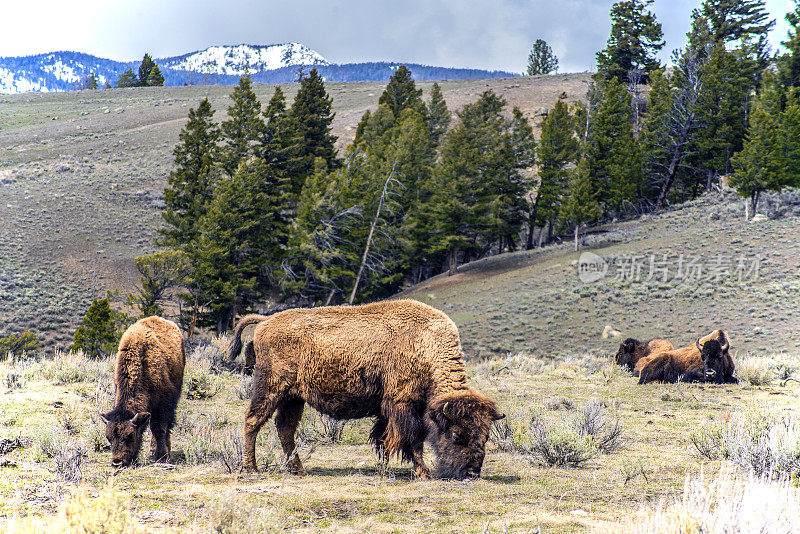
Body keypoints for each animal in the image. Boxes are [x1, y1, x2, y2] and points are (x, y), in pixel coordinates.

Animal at [101, 318, 185, 468]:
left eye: (130, 435)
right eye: (108, 437)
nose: (117, 462)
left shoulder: (163, 404)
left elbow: (159, 429)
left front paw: (162, 456)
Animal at [228, 302, 504, 482]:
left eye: (486, 436)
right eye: (456, 435)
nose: (471, 473)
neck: (425, 344)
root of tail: (266, 321)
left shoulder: (386, 409)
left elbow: (382, 438)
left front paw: (384, 470)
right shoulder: (404, 404)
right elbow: (412, 439)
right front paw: (422, 473)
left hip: (293, 398)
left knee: (285, 428)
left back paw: (298, 470)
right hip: (270, 388)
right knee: (253, 421)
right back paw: (250, 469)